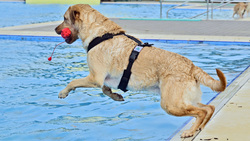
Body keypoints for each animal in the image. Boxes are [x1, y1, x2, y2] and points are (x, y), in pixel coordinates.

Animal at [54, 3, 227, 138]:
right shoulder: (103, 79)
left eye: (64, 18)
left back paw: (191, 131)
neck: (100, 33)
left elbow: (73, 81)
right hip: (184, 99)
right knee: (208, 108)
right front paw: (116, 96)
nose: (55, 29)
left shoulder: (94, 78)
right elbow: (105, 89)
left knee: (201, 112)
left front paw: (63, 92)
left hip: (171, 103)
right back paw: (199, 127)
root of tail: (191, 66)